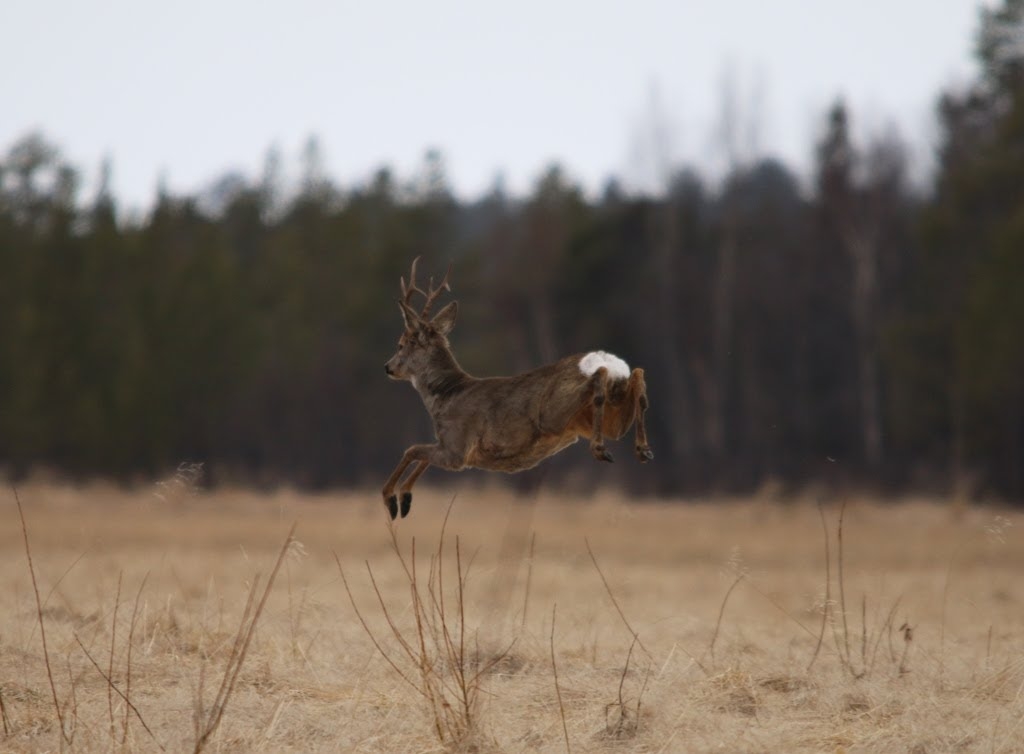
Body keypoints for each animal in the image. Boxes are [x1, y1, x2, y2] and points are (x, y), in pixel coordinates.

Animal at [380, 259, 651, 518]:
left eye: (402, 343)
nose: (388, 367)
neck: (447, 394)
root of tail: (608, 361)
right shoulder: (448, 446)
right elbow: (420, 458)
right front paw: (405, 499)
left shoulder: (457, 447)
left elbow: (412, 450)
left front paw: (392, 500)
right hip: (605, 419)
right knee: (636, 376)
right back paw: (642, 449)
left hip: (553, 414)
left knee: (600, 376)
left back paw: (601, 448)